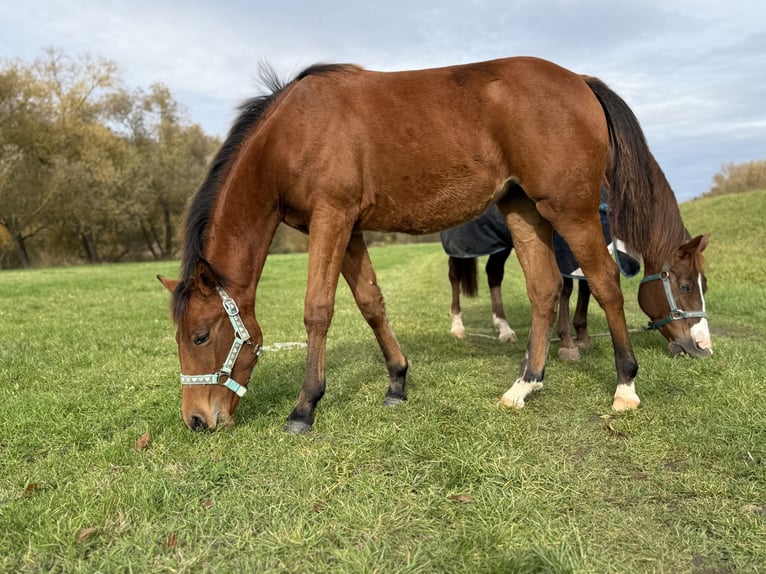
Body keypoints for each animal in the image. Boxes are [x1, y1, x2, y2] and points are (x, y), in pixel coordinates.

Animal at [158, 56, 711, 434]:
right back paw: (524, 385)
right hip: (523, 209)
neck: (292, 132)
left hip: (568, 210)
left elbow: (318, 309)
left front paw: (304, 406)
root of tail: (579, 81)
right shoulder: (349, 227)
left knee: (604, 282)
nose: (197, 420)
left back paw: (625, 387)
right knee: (545, 288)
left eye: (200, 336)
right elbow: (371, 302)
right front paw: (397, 381)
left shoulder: (331, 218)